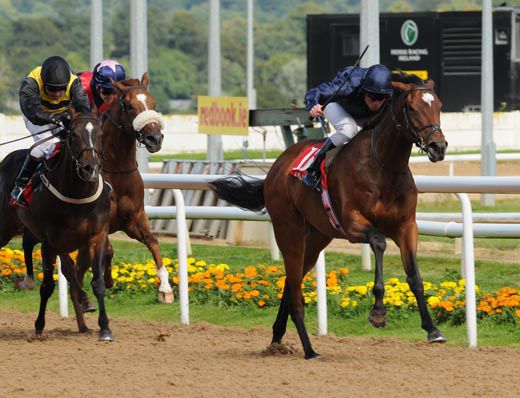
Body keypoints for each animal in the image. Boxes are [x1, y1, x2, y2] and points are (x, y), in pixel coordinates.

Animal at [0, 108, 111, 338]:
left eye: (100, 134)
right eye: (74, 135)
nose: (90, 168)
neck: (77, 195)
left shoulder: (97, 235)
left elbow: (97, 281)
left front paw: (104, 326)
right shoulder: (49, 242)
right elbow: (48, 286)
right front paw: (39, 325)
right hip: (5, 228)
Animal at [209, 73, 448, 360]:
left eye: (439, 106)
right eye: (411, 108)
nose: (438, 147)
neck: (383, 167)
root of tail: (276, 167)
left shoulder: (407, 226)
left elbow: (415, 277)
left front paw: (432, 329)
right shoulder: (353, 224)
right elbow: (379, 243)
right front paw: (378, 313)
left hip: (316, 238)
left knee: (292, 282)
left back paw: (277, 338)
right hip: (289, 231)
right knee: (295, 286)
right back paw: (309, 349)